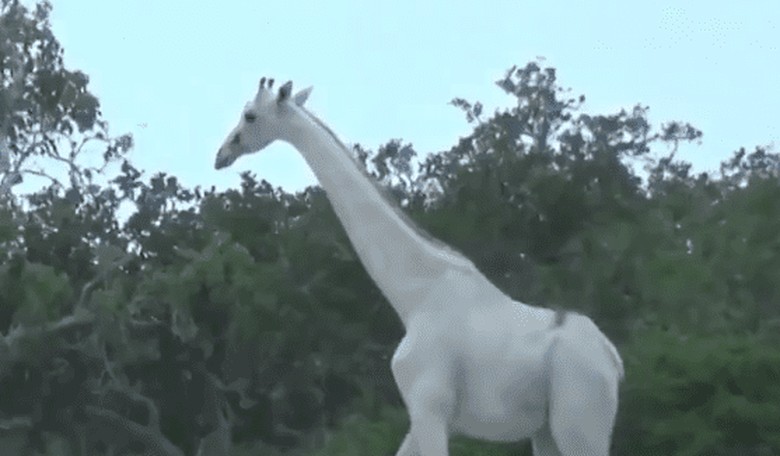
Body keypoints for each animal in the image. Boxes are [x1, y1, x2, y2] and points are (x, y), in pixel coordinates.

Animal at [214, 78, 624, 456]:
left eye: (250, 115)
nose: (222, 153)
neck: (416, 296)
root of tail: (611, 359)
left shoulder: (430, 407)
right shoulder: (420, 416)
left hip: (578, 426)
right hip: (547, 432)